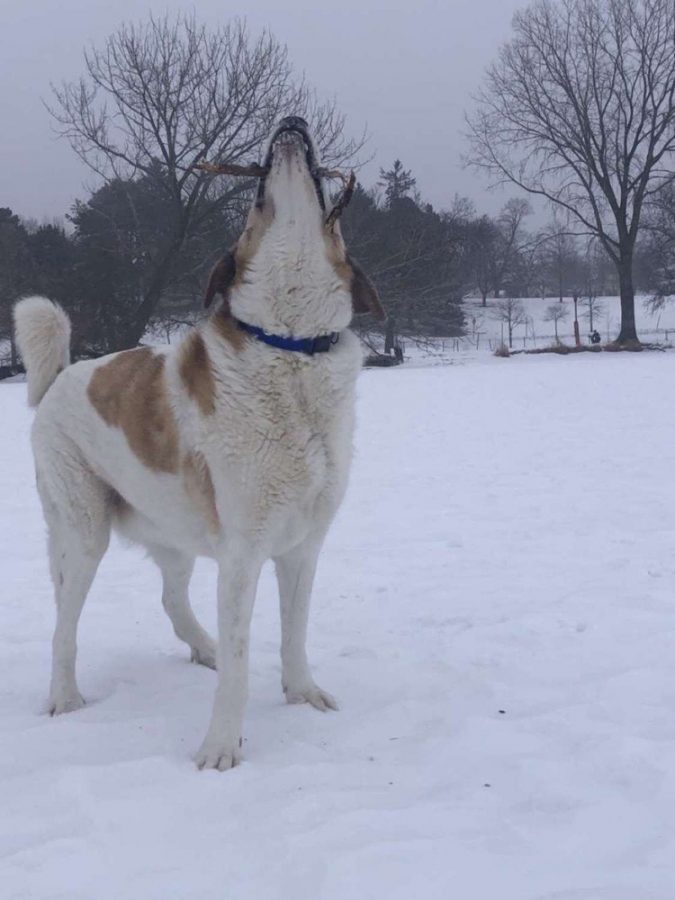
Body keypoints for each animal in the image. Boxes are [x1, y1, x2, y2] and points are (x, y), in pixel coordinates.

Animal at [13, 116, 386, 768]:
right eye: (252, 202)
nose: (291, 122)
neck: (291, 348)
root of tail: (58, 377)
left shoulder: (302, 547)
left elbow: (294, 633)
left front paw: (301, 693)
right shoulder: (242, 553)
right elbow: (241, 662)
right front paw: (220, 747)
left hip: (173, 530)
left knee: (170, 599)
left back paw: (201, 646)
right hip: (83, 534)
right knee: (64, 624)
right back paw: (64, 698)